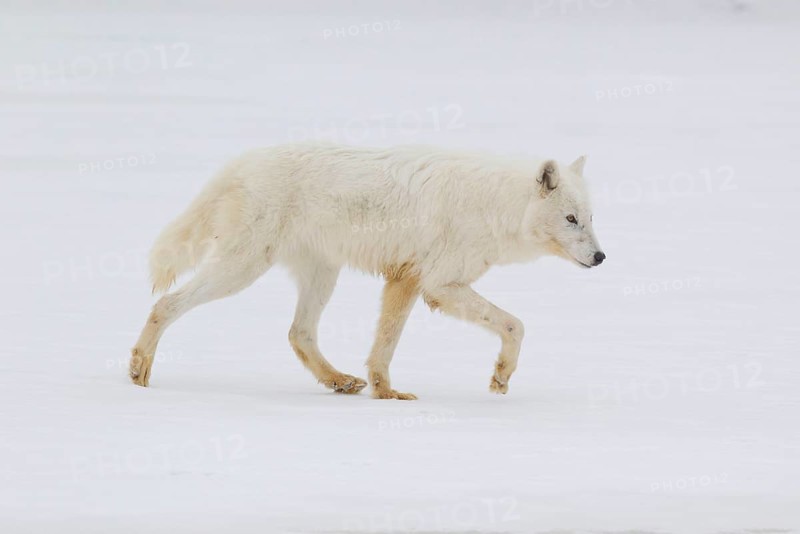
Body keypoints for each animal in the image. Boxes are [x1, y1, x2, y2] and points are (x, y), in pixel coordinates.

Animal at [129, 142, 605, 399]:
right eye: (570, 220)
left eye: (590, 218)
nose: (601, 258)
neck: (496, 204)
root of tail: (241, 162)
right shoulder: (438, 285)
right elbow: (515, 325)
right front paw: (500, 376)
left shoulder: (406, 280)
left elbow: (383, 348)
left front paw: (386, 391)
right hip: (242, 269)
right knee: (166, 303)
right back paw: (139, 370)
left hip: (321, 275)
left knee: (298, 333)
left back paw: (340, 381)